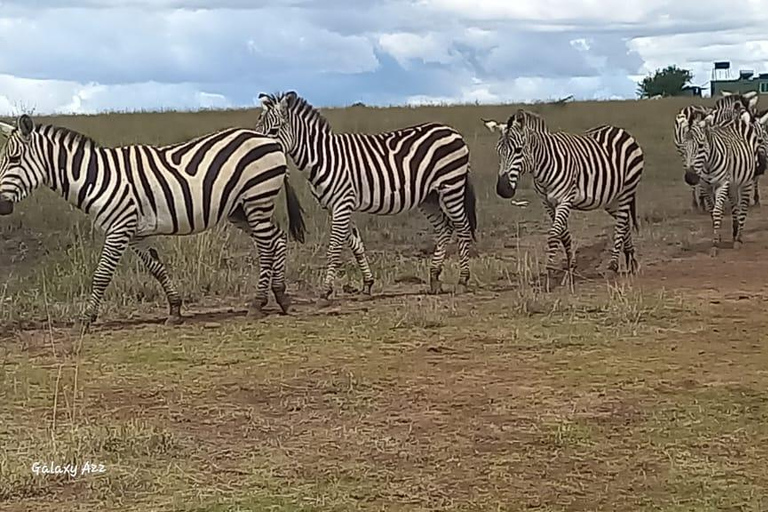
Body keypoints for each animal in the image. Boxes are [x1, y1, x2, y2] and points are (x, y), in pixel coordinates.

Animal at [0, 113, 306, 328]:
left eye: (13, 159)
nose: (1, 206)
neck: (97, 178)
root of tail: (271, 140)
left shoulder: (119, 228)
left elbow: (101, 275)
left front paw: (86, 319)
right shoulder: (135, 232)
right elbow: (157, 268)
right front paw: (175, 310)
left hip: (257, 199)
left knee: (266, 246)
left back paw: (257, 303)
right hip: (240, 208)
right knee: (277, 239)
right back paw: (281, 296)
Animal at [255, 91, 476, 304]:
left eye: (273, 131)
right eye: (257, 129)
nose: (261, 154)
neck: (324, 158)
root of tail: (452, 131)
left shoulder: (342, 203)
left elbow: (334, 247)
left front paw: (326, 292)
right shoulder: (337, 206)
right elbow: (356, 245)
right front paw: (367, 285)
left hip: (451, 186)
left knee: (463, 227)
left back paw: (463, 280)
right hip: (429, 197)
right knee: (444, 228)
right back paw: (434, 278)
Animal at [484, 110, 644, 284]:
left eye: (519, 150)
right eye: (498, 151)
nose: (502, 190)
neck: (545, 165)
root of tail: (619, 130)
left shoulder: (565, 199)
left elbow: (554, 235)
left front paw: (549, 272)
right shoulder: (547, 203)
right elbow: (564, 235)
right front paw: (570, 268)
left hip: (627, 190)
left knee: (620, 226)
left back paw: (613, 267)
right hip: (611, 199)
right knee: (625, 221)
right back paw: (631, 259)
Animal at [680, 110, 764, 258]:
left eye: (700, 146)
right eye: (684, 148)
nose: (690, 178)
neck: (707, 164)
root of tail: (736, 120)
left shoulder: (722, 184)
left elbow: (717, 211)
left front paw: (715, 245)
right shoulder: (705, 186)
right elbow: (712, 211)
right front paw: (717, 237)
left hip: (747, 181)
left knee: (743, 206)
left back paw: (738, 239)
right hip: (732, 184)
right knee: (735, 205)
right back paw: (735, 233)